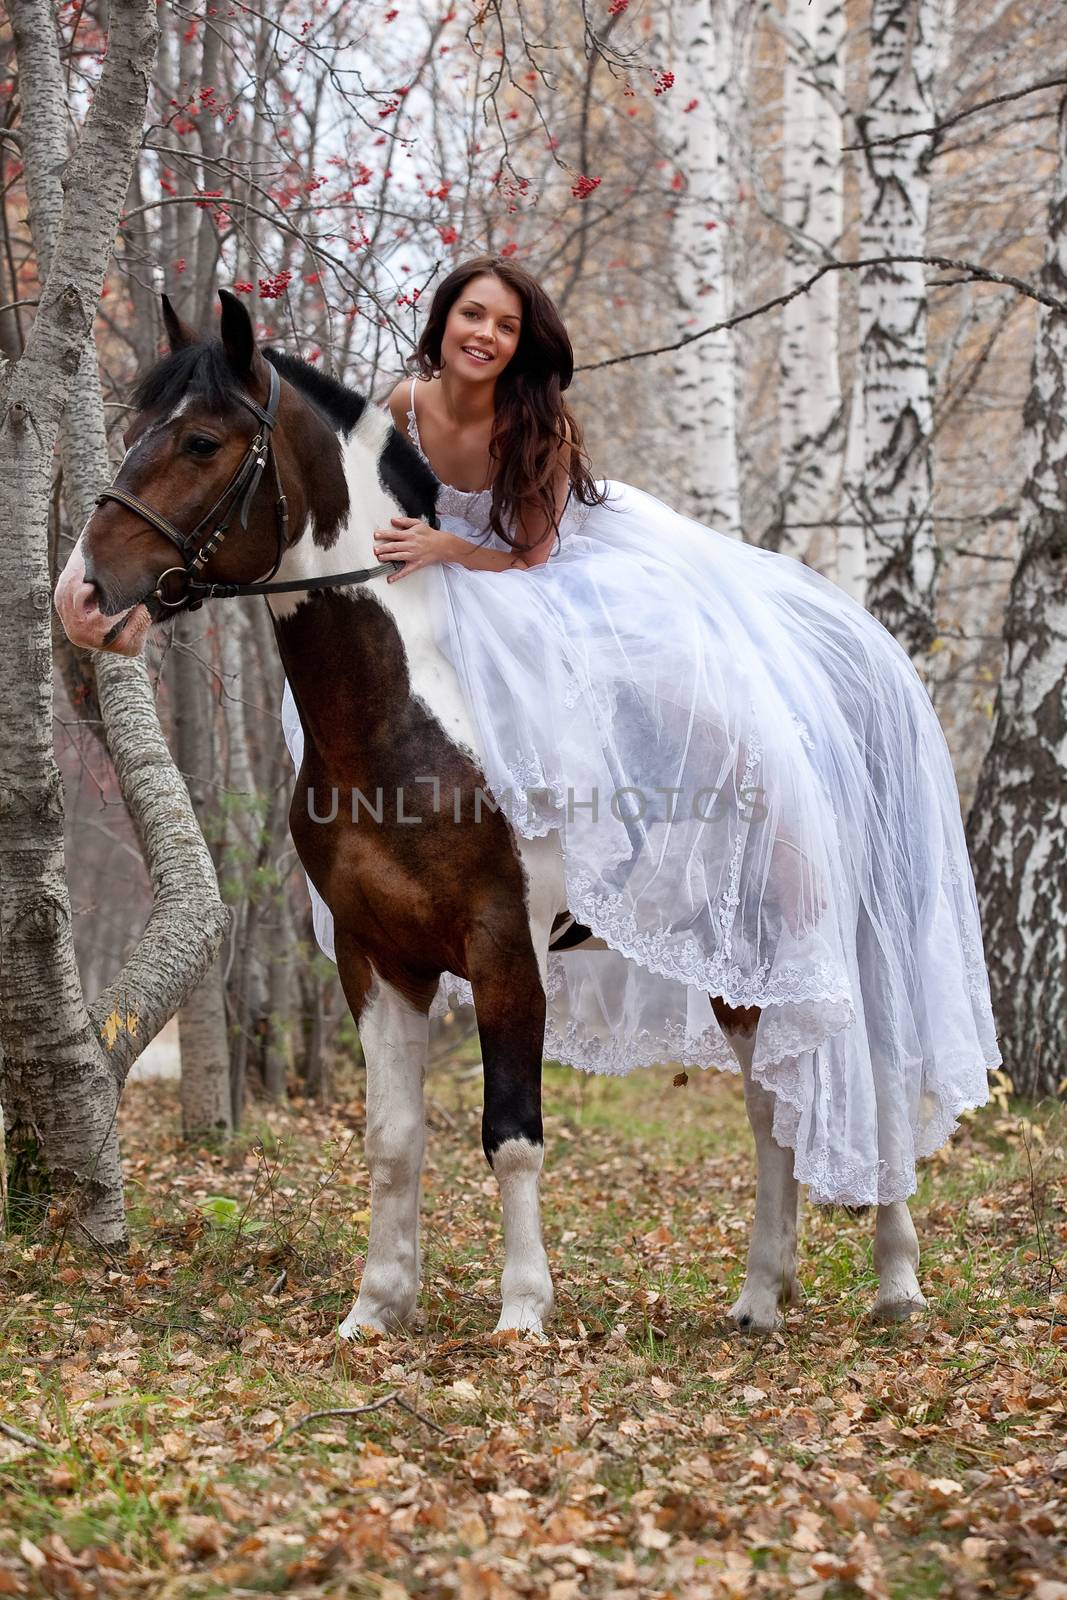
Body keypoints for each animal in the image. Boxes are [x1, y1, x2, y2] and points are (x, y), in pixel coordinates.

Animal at [54, 291, 927, 1337]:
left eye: (200, 441)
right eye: (133, 432)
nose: (82, 599)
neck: (408, 720)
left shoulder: (505, 949)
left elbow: (511, 1135)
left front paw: (521, 1312)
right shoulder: (375, 957)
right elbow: (392, 1139)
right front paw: (377, 1307)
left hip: (818, 934)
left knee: (876, 1084)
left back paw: (894, 1282)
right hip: (737, 951)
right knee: (769, 1107)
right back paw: (763, 1296)